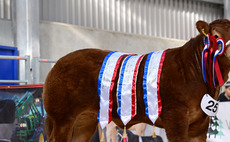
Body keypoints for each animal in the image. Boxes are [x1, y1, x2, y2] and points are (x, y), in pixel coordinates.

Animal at [42, 19, 230, 142]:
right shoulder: (176, 118)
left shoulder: (200, 124)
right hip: (62, 117)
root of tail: (59, 63)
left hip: (84, 120)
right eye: (215, 35)